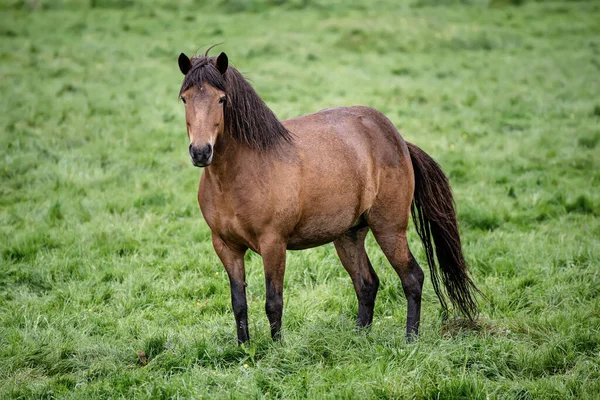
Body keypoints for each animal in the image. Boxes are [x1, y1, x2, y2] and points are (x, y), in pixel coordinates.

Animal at [177, 50, 478, 344]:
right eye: (185, 98)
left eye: (222, 99)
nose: (201, 152)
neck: (242, 173)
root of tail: (399, 141)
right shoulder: (226, 247)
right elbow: (239, 303)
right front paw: (245, 349)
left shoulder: (273, 243)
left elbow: (273, 302)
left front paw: (277, 351)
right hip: (349, 234)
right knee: (367, 283)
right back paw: (358, 340)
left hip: (389, 228)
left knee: (412, 277)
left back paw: (410, 341)